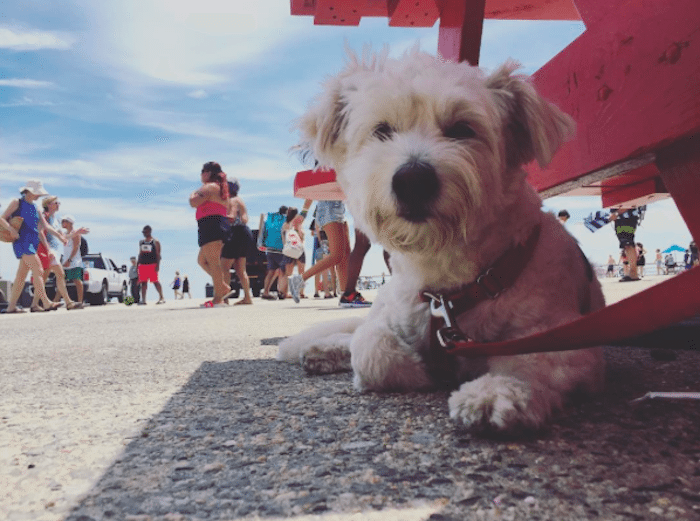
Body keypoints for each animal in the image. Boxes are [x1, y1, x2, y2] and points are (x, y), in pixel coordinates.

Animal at [276, 48, 604, 432]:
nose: (412, 180)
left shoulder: (566, 339)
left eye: (462, 129)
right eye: (382, 130)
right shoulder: (392, 320)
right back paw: (322, 350)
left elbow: (532, 362)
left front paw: (498, 390)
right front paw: (419, 370)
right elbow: (371, 349)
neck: (449, 283)